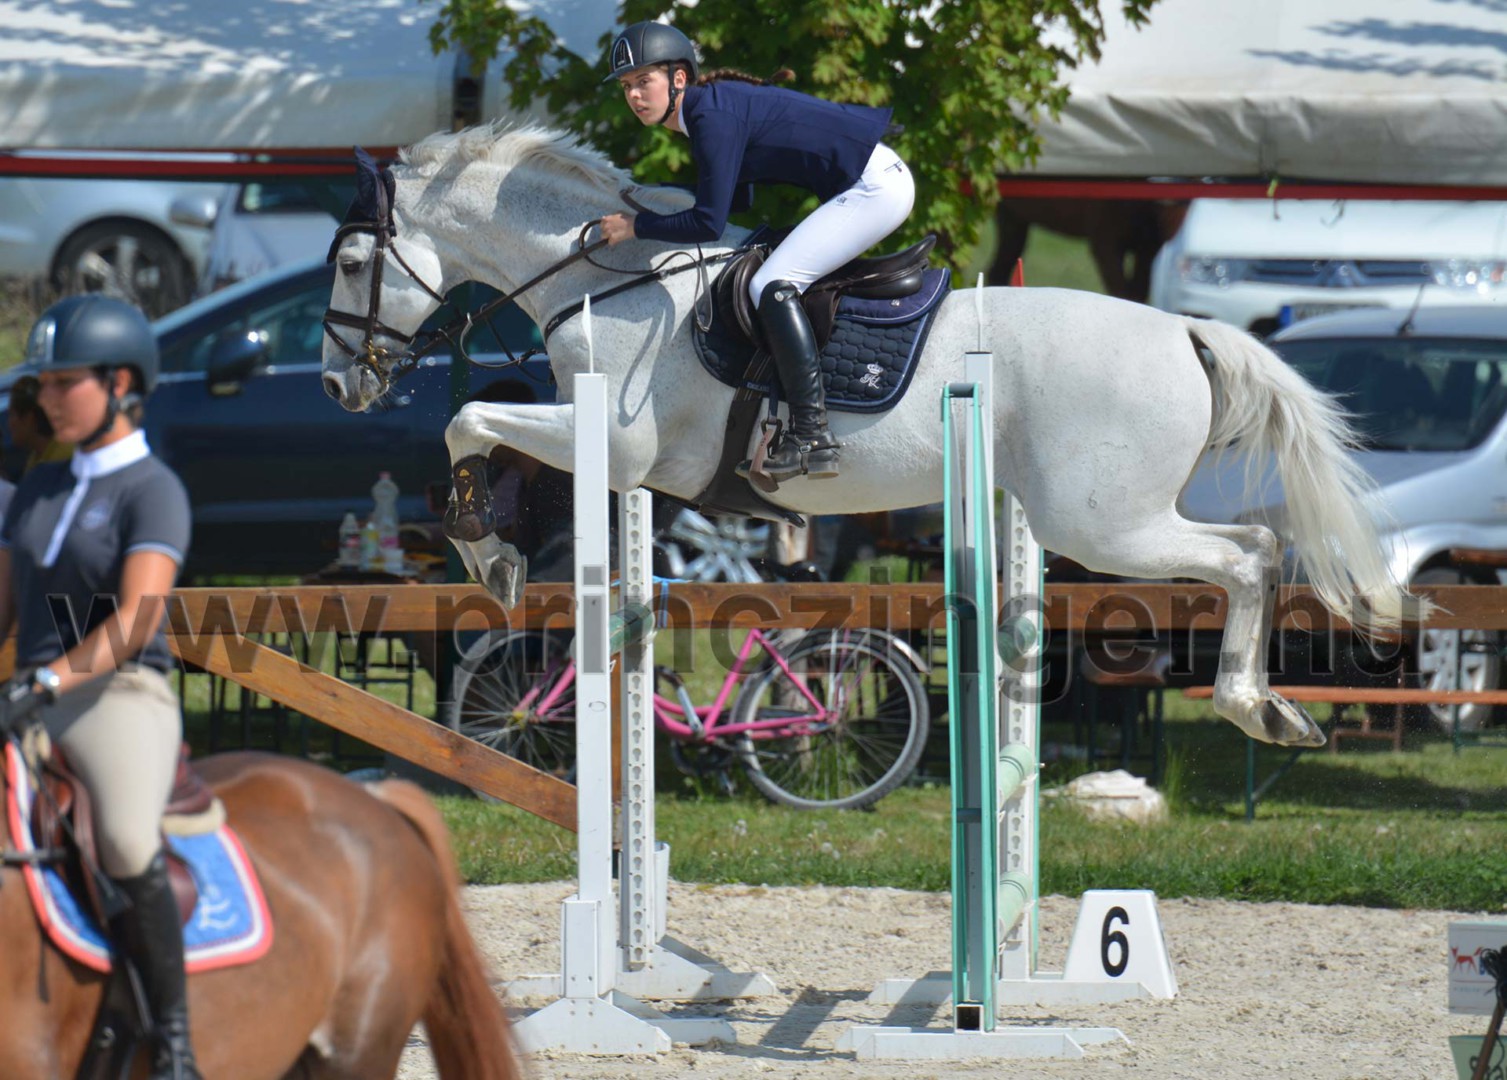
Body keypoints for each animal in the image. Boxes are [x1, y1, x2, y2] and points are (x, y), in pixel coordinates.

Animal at [320, 123, 1416, 750]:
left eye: (351, 263)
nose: (339, 382)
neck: (603, 279)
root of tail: (1185, 330)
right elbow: (481, 431)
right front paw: (497, 554)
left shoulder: (620, 450)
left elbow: (466, 417)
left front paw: (488, 553)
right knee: (1256, 547)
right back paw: (1270, 707)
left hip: (1103, 524)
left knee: (1249, 553)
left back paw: (1254, 706)